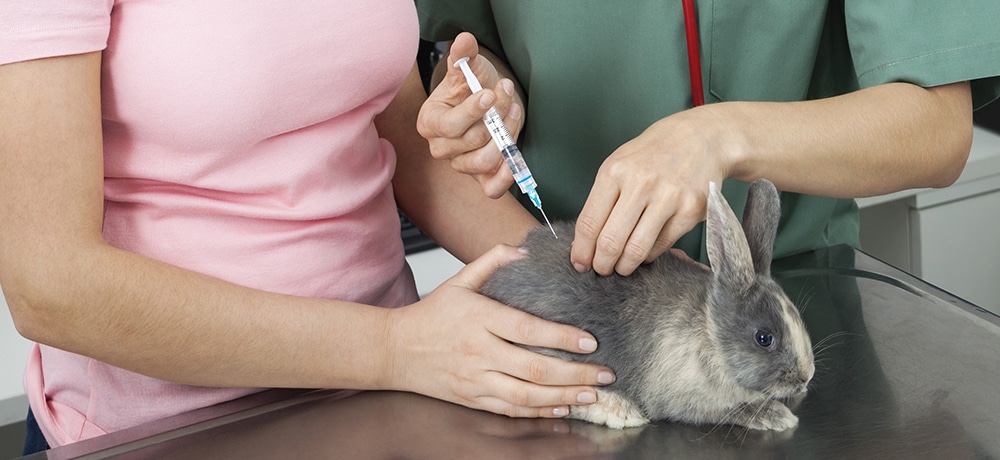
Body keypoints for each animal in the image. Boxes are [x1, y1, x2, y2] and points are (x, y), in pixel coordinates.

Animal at [480, 178, 816, 430]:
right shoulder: (690, 400)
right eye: (764, 338)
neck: (709, 334)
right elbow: (734, 410)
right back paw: (622, 412)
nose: (806, 376)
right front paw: (777, 416)